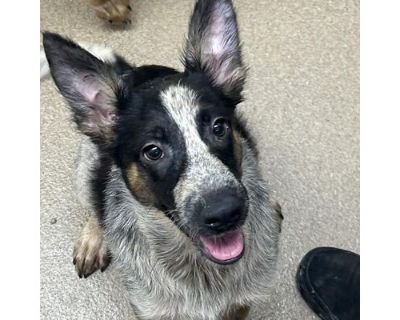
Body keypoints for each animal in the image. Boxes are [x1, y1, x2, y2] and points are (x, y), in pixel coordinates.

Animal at [41, 1, 282, 318]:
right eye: (153, 151)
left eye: (219, 127)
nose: (226, 213)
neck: (202, 269)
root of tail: (131, 71)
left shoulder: (241, 304)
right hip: (85, 165)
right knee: (94, 201)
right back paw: (94, 237)